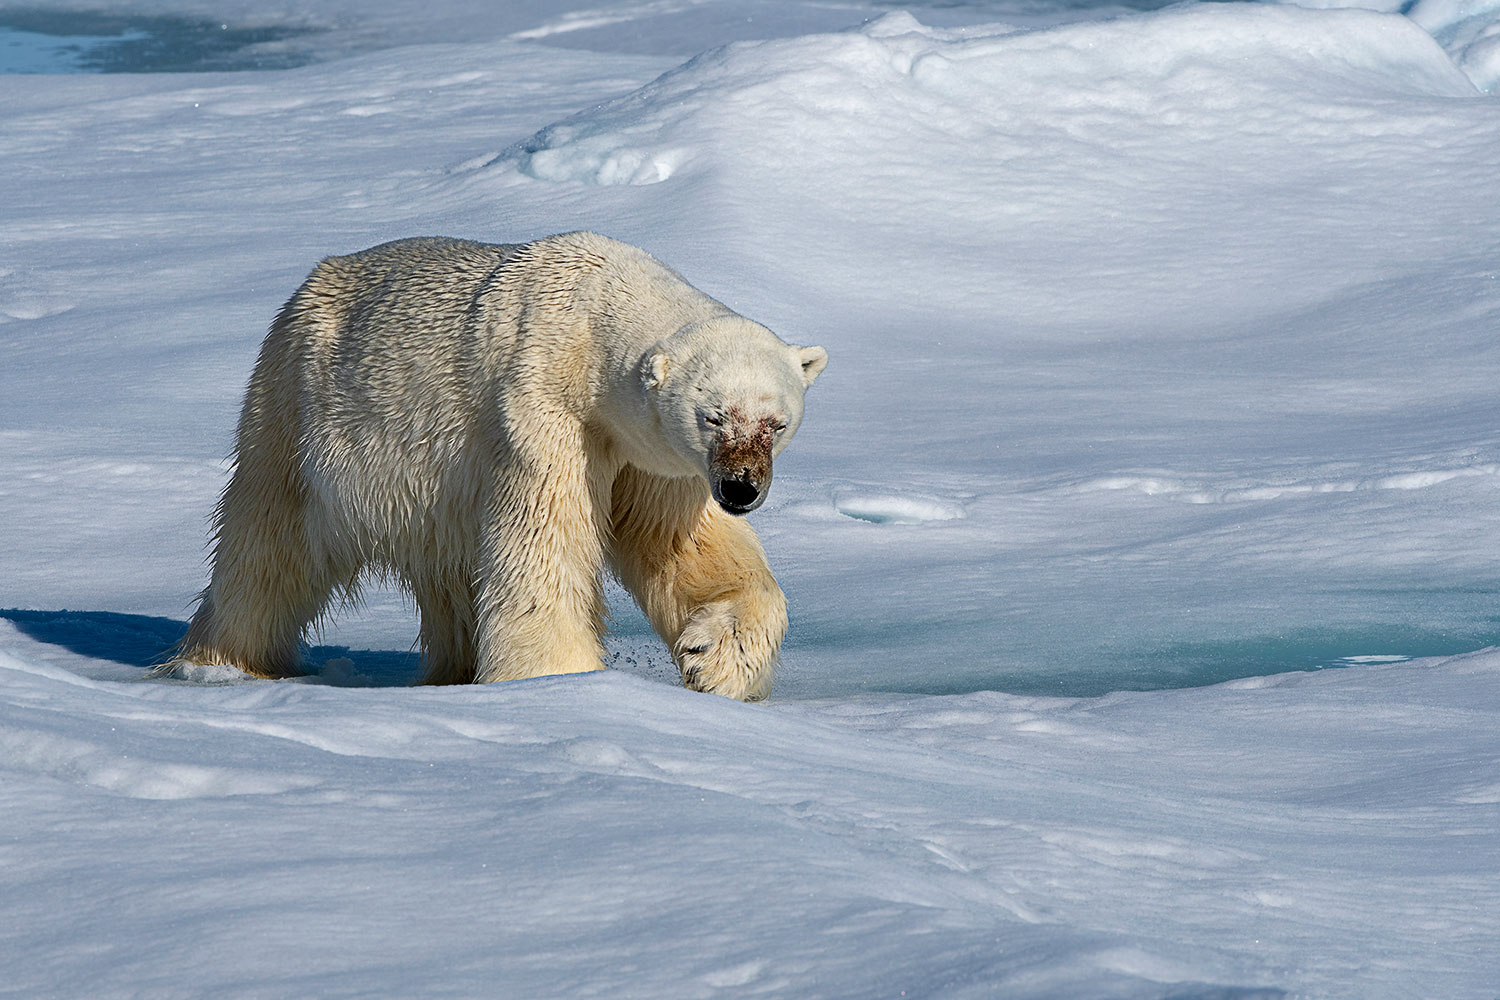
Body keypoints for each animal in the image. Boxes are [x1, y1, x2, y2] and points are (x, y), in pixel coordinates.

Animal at [158, 232, 826, 701]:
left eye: (775, 421)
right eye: (714, 416)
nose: (741, 489)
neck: (591, 314)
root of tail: (310, 283)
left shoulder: (651, 457)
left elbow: (678, 545)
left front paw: (713, 661)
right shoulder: (543, 410)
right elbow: (542, 547)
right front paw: (557, 677)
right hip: (296, 406)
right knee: (269, 543)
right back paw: (220, 664)